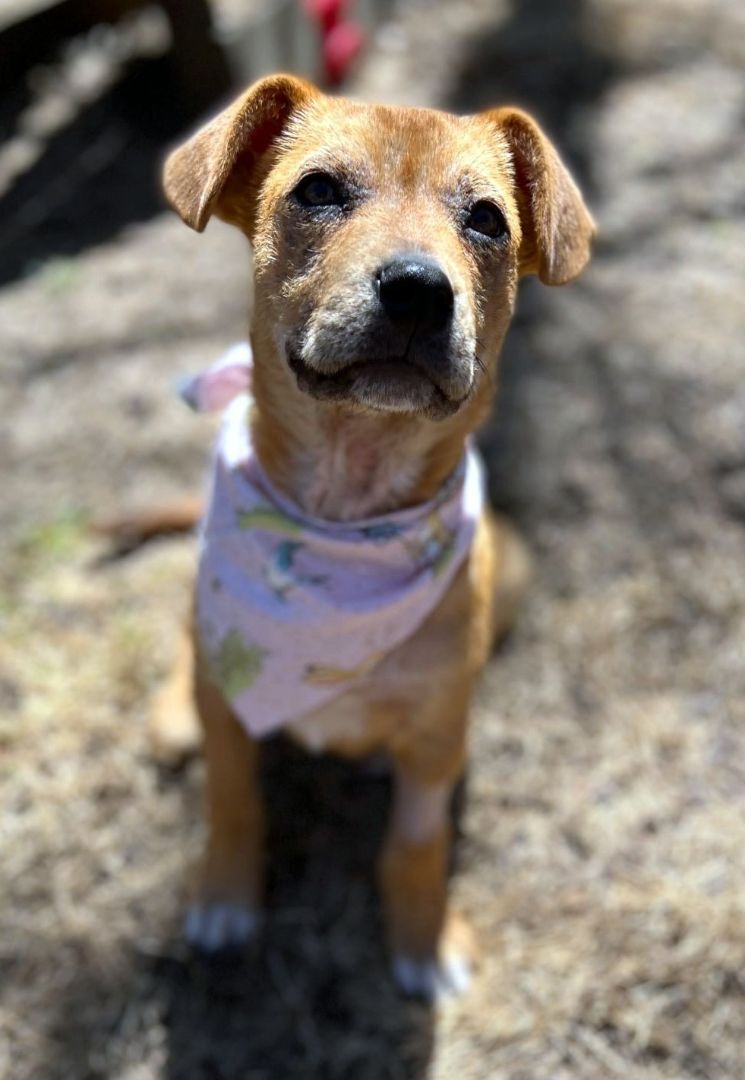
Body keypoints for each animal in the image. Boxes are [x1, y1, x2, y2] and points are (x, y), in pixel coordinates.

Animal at [156, 76, 591, 997]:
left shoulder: (433, 741)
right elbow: (231, 799)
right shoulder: (233, 720)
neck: (343, 512)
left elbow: (415, 844)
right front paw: (225, 896)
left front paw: (422, 942)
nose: (419, 290)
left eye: (487, 219)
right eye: (318, 189)